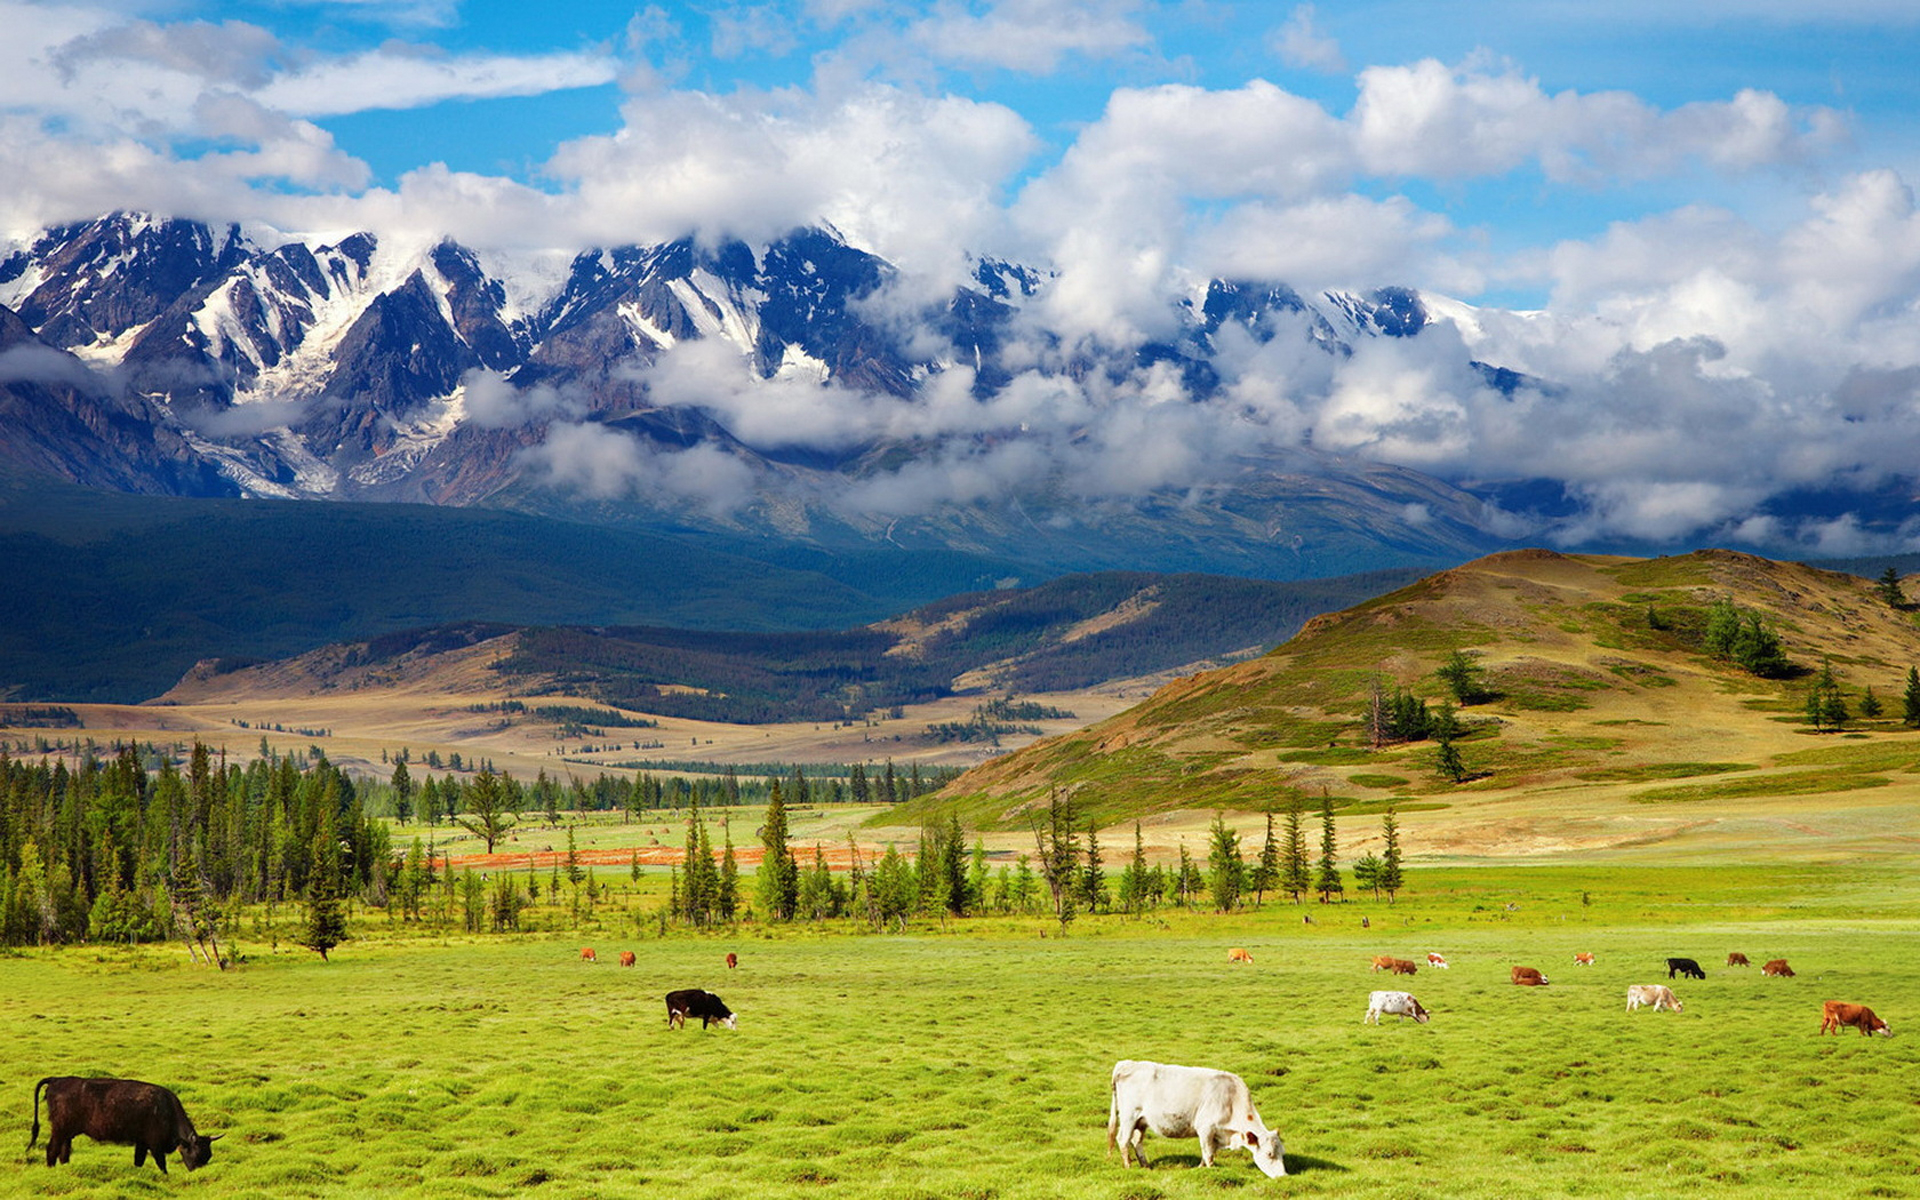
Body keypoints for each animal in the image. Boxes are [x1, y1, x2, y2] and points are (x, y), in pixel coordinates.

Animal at [28, 1075, 219, 1167]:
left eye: (208, 1155)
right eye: (196, 1154)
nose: (196, 1172)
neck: (166, 1108)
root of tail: (56, 1080)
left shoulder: (142, 1144)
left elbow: (139, 1162)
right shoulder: (154, 1145)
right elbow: (161, 1164)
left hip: (67, 1133)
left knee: (64, 1153)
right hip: (59, 1130)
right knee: (52, 1151)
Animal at [1105, 1052, 1282, 1175]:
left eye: (1282, 1153)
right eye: (1269, 1154)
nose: (1283, 1177)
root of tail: (1127, 1064)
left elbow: (1207, 1153)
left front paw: (1200, 1168)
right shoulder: (1206, 1128)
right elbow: (1208, 1154)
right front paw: (1210, 1171)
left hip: (1141, 1121)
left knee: (1136, 1141)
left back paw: (1146, 1166)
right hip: (1128, 1117)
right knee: (1123, 1140)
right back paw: (1128, 1166)